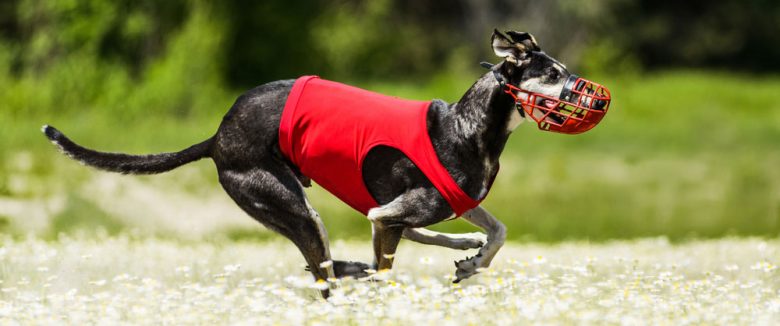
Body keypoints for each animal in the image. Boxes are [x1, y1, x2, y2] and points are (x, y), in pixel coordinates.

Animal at [42, 29, 608, 298]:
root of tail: (218, 136)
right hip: (292, 207)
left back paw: (455, 247)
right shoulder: (387, 215)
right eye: (551, 74)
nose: (596, 97)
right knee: (326, 273)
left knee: (346, 263)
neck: (467, 127)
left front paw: (472, 261)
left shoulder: (447, 201)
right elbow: (386, 267)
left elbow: (498, 231)